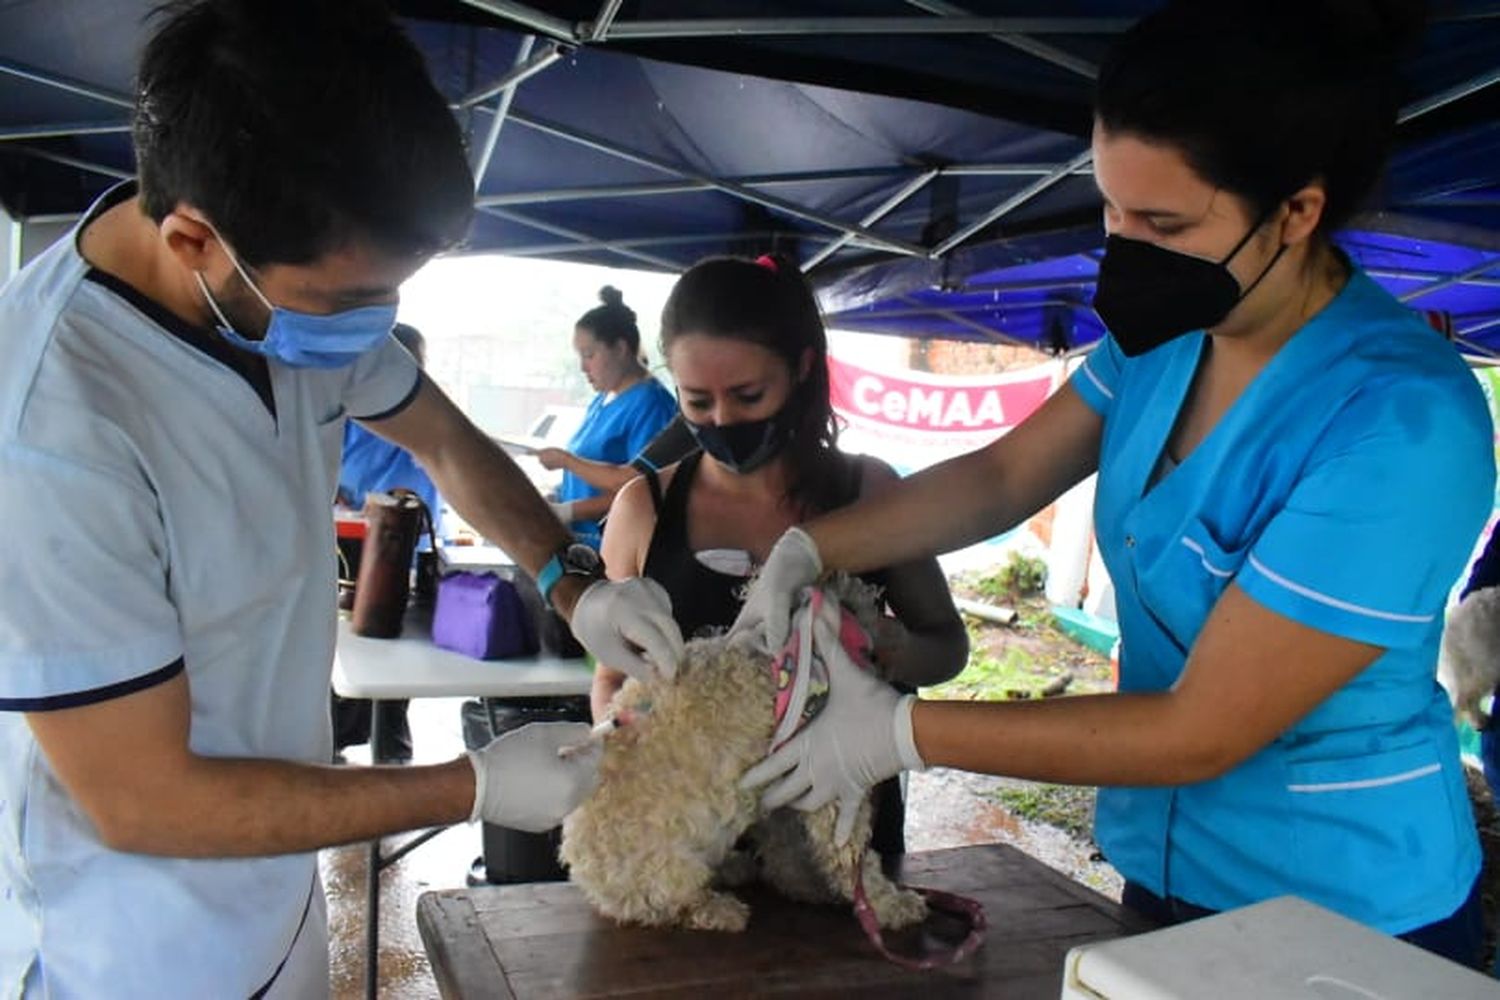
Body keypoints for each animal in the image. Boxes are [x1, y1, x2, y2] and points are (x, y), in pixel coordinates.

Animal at [564, 575, 924, 935]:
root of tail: (583, 874)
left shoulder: (783, 785)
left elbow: (785, 848)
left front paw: (805, 885)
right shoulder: (829, 785)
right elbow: (851, 856)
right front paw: (887, 903)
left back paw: (733, 868)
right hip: (666, 869)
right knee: (673, 904)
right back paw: (718, 908)